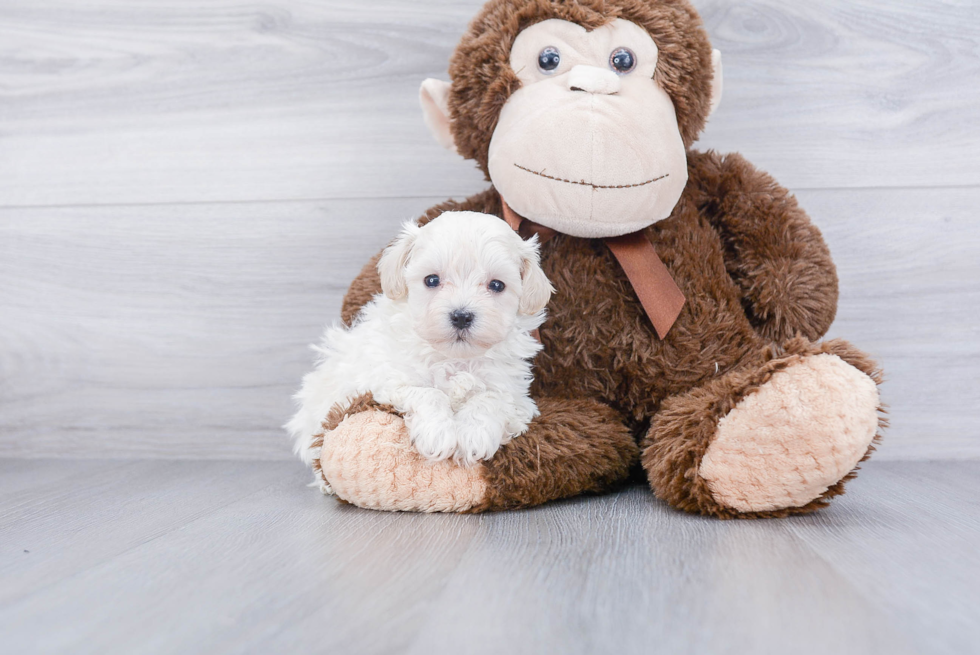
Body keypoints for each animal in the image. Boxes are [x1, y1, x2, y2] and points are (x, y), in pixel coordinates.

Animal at [288, 211, 556, 472]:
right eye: (432, 280)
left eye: (497, 285)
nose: (461, 316)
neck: (454, 359)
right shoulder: (388, 381)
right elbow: (429, 393)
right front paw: (438, 434)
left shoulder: (514, 394)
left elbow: (490, 399)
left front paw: (473, 435)